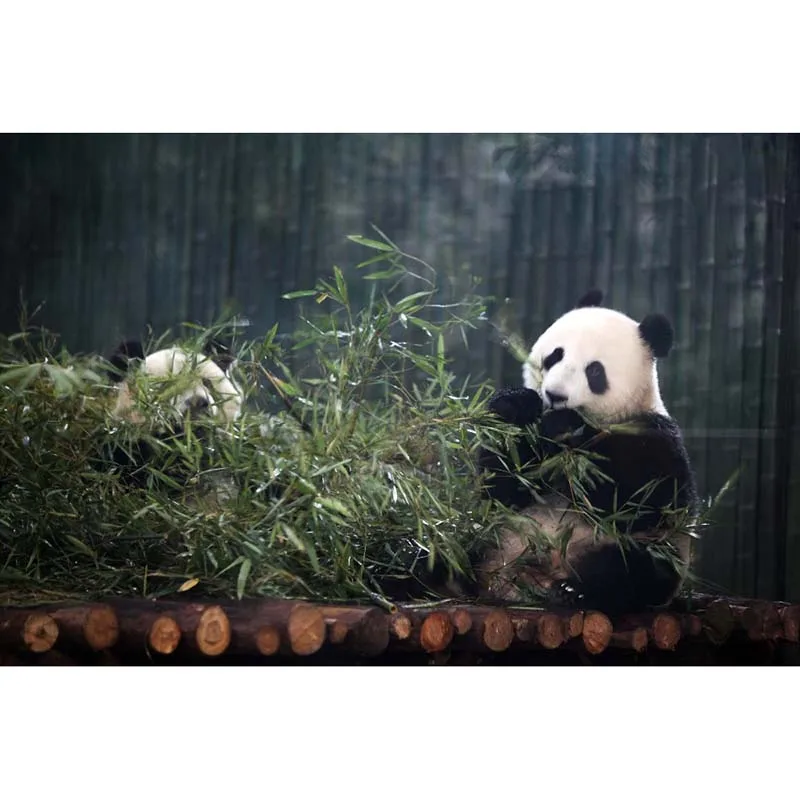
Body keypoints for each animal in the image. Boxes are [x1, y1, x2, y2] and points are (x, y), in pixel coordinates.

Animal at [472, 289, 700, 616]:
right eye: (555, 355)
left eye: (594, 371)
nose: (555, 395)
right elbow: (502, 489)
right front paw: (515, 404)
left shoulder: (652, 435)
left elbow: (638, 501)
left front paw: (567, 428)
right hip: (490, 539)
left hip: (641, 550)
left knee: (637, 568)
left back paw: (576, 591)